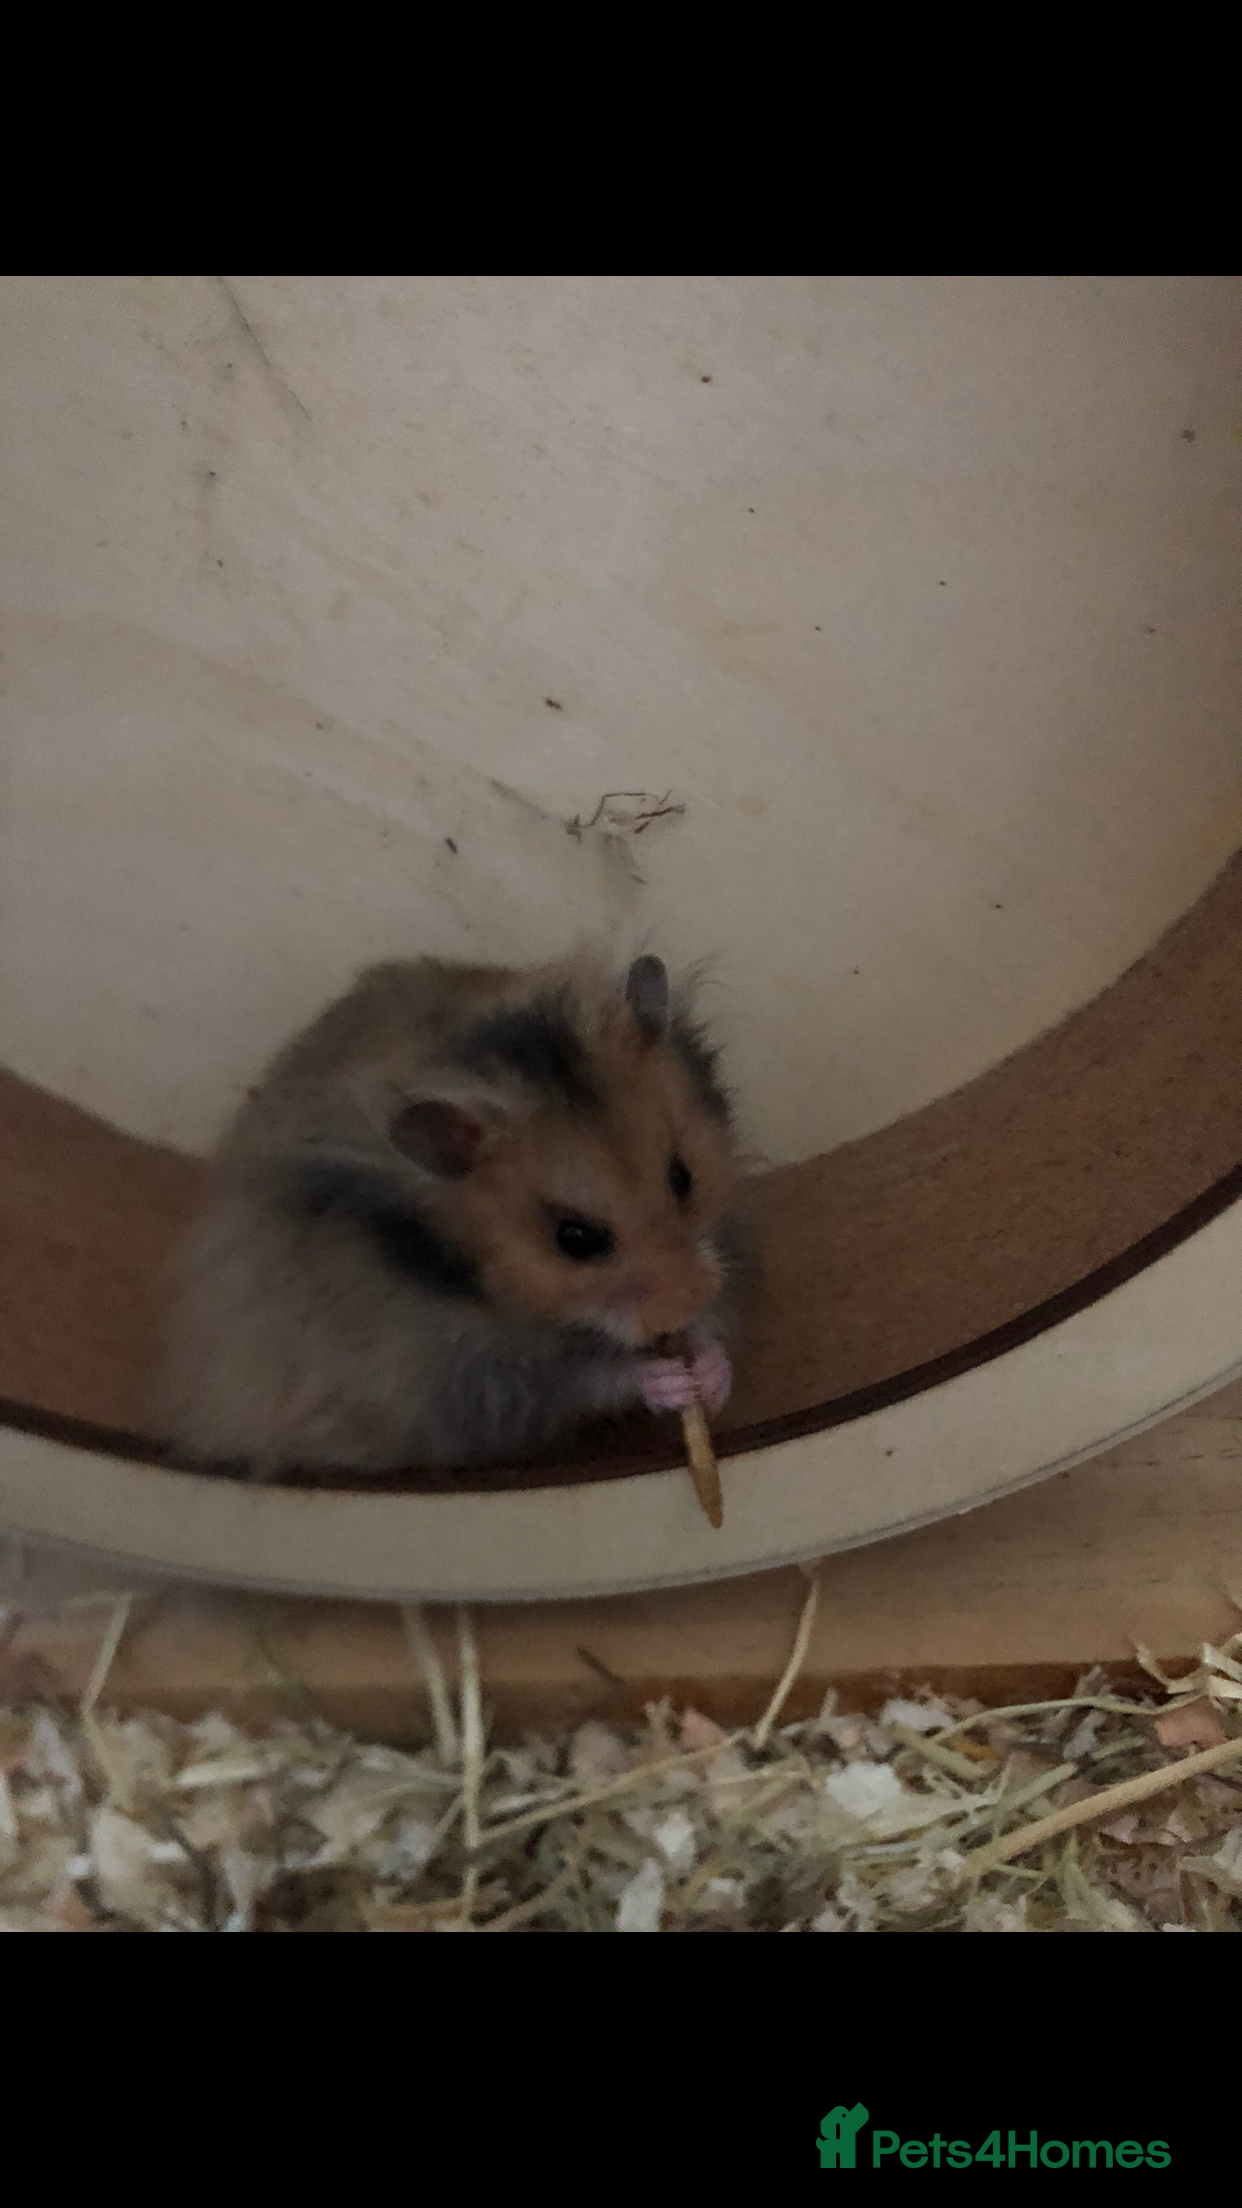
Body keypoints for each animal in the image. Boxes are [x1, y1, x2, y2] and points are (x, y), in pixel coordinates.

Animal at [152, 951, 754, 1479]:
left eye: (683, 1176)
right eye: (574, 1238)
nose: (688, 1299)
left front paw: (711, 1371)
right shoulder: (481, 1380)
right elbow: (596, 1377)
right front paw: (674, 1379)